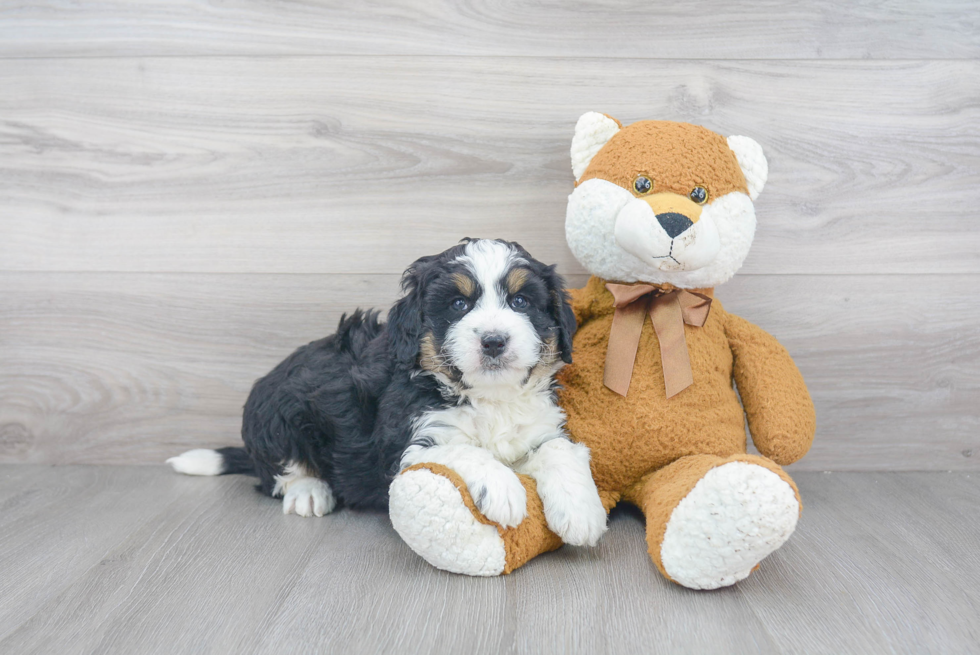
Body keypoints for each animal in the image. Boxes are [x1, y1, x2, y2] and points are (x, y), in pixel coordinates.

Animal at [172, 241, 608, 548]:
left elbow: (558, 448)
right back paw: (309, 491)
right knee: (281, 469)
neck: (488, 397)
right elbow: (463, 450)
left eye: (520, 301)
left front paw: (581, 511)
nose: (494, 340)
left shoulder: (539, 426)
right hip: (276, 408)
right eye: (458, 304)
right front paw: (503, 488)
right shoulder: (407, 440)